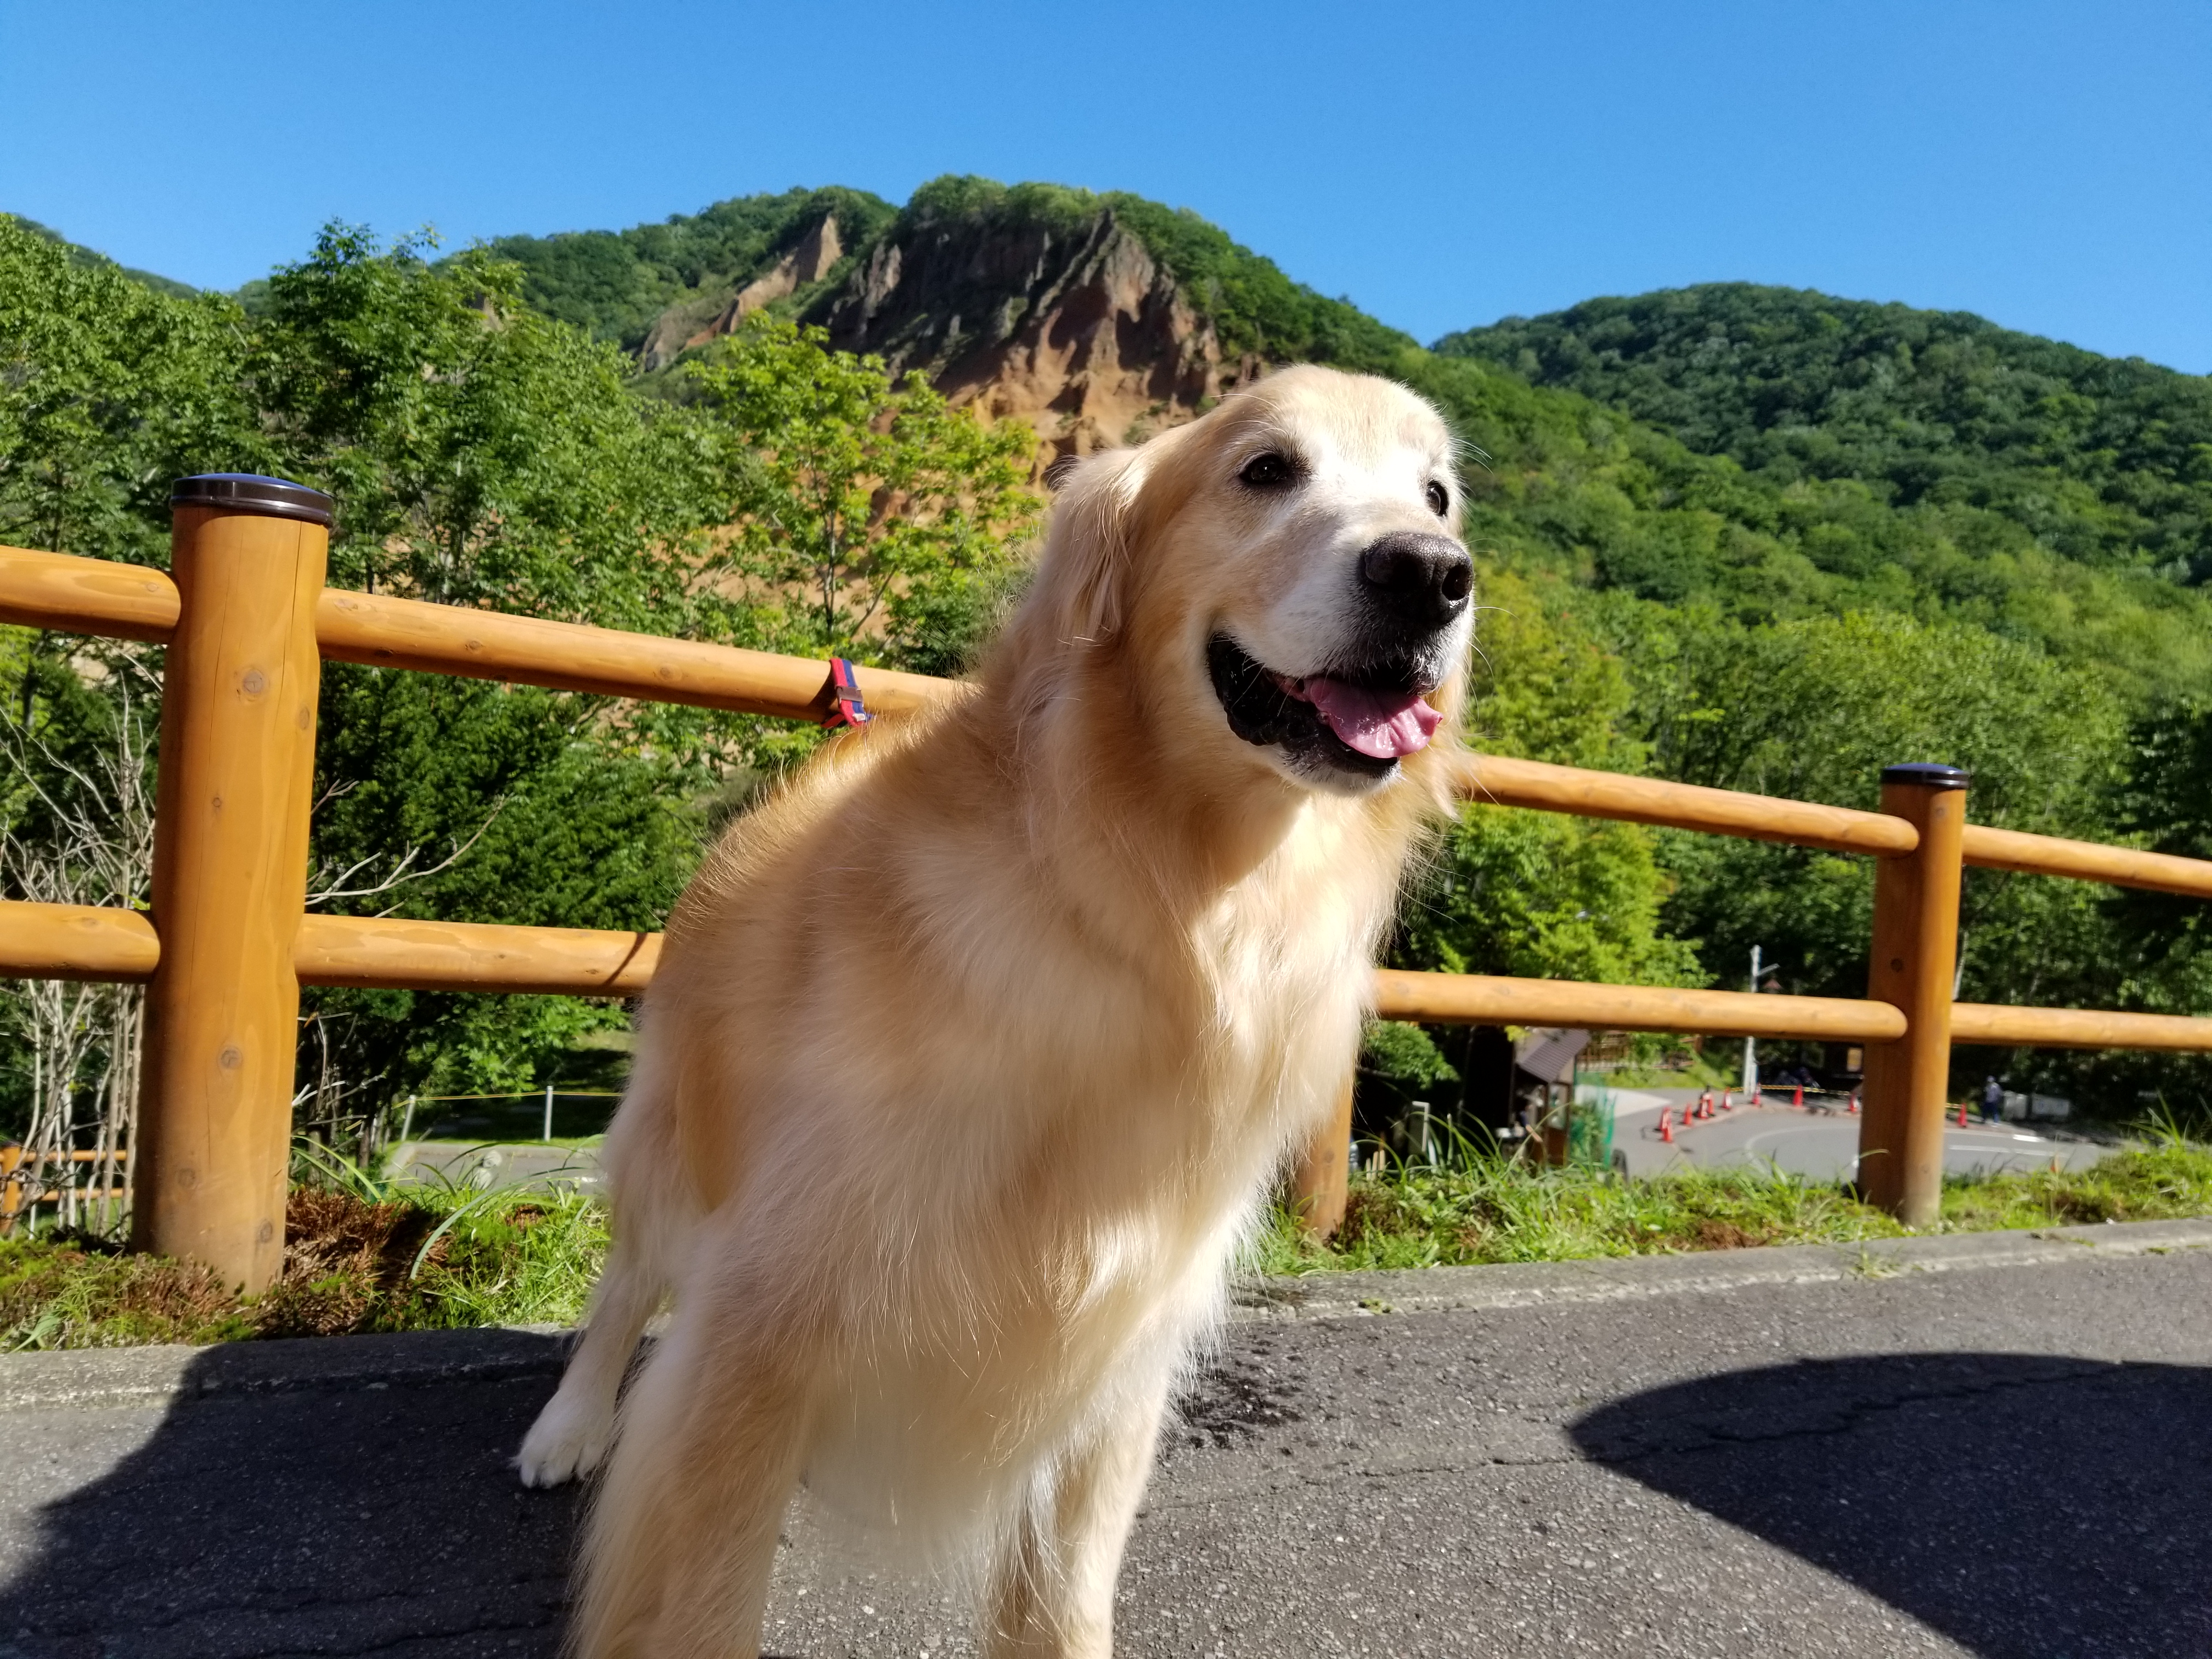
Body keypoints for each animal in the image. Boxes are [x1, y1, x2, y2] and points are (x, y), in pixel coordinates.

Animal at [520, 367, 1477, 1659]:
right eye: (1266, 468)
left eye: (1437, 495)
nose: (1431, 573)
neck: (1154, 907)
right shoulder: (752, 1332)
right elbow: (701, 1601)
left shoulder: (1117, 1345)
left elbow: (1061, 1606)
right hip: (674, 1136)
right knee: (625, 1280)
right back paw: (569, 1425)